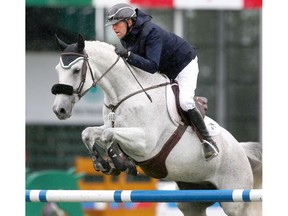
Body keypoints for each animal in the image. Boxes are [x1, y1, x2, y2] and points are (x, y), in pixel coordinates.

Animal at [51, 34, 260, 215]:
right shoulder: (111, 126)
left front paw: (118, 161)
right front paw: (103, 163)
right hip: (192, 200)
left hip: (235, 200)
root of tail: (241, 150)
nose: (59, 109)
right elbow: (89, 133)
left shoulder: (145, 143)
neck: (124, 94)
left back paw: (210, 148)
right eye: (57, 70)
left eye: (76, 70)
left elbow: (107, 135)